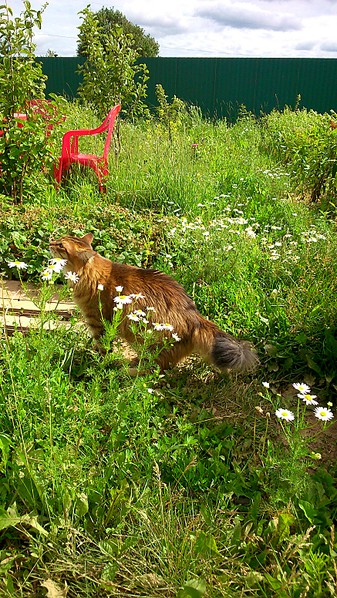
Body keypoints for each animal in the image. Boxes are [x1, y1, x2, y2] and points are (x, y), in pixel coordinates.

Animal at [49, 232, 258, 372]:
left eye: (61, 246)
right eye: (59, 239)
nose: (50, 242)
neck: (92, 275)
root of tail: (196, 318)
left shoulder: (98, 322)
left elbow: (102, 347)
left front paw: (96, 362)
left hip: (150, 341)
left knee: (155, 368)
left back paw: (128, 371)